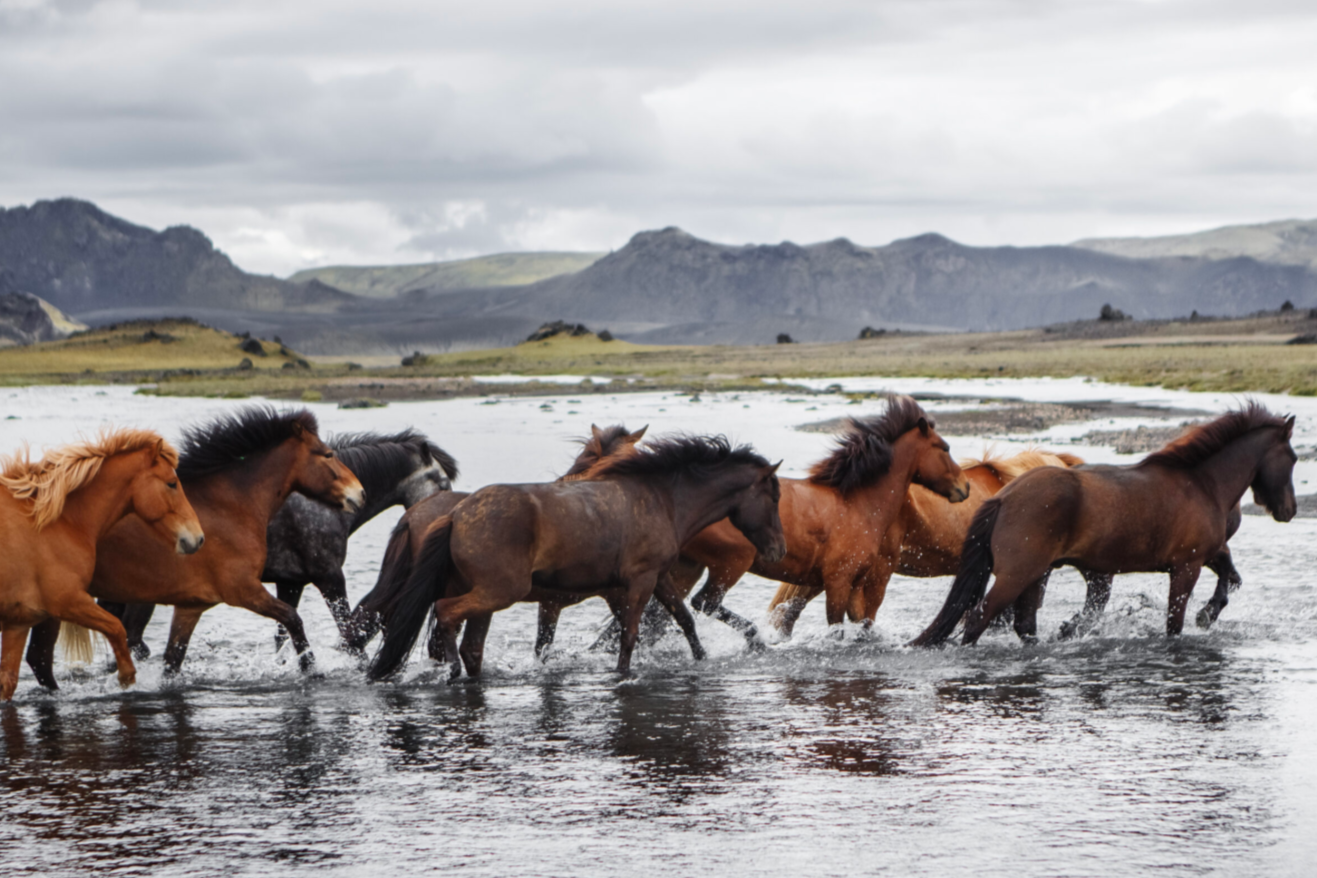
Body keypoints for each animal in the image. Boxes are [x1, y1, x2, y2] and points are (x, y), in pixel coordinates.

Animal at [0, 430, 204, 700]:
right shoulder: (70, 602)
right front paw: (126, 677)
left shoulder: (19, 621)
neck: (54, 523)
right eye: (172, 483)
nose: (198, 538)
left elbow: (7, 683)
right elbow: (116, 628)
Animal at [24, 408, 364, 687]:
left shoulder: (192, 606)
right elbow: (293, 619)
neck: (230, 505)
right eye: (327, 454)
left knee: (39, 659)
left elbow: (172, 662)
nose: (359, 493)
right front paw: (312, 670)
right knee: (39, 659)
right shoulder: (244, 591)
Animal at [107, 429, 458, 656]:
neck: (323, 503)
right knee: (132, 637)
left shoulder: (291, 583)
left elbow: (284, 634)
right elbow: (348, 631)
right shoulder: (330, 577)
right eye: (442, 483)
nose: (447, 515)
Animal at [363, 434, 785, 682]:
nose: (778, 549)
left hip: (484, 596)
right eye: (774, 496)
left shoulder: (656, 576)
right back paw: (452, 674)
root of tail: (455, 514)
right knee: (446, 615)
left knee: (469, 644)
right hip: (500, 591)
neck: (663, 499)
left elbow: (683, 619)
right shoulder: (638, 581)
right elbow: (630, 633)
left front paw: (701, 659)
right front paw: (622, 674)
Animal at [912, 402, 1296, 647]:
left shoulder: (1210, 553)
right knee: (979, 618)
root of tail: (1004, 496)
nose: (1289, 510)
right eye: (1292, 457)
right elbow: (1174, 623)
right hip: (1017, 575)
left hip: (1037, 573)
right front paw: (1199, 619)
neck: (1202, 484)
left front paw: (1207, 614)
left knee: (1023, 624)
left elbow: (1232, 577)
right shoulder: (1187, 566)